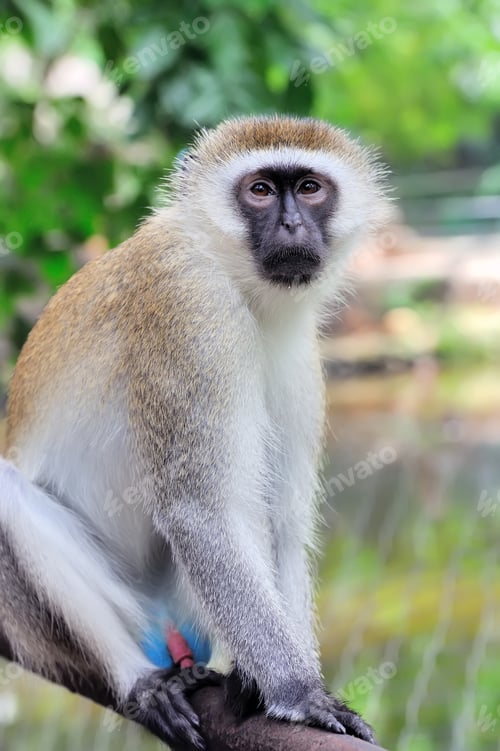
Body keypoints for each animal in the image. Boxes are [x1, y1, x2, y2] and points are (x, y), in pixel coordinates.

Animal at [0, 115, 390, 749]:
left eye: (309, 188)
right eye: (261, 190)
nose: (291, 224)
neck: (240, 283)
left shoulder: (299, 354)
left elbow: (283, 520)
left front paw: (271, 685)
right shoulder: (188, 307)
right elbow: (201, 512)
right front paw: (300, 694)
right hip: (43, 622)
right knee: (9, 494)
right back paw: (137, 677)